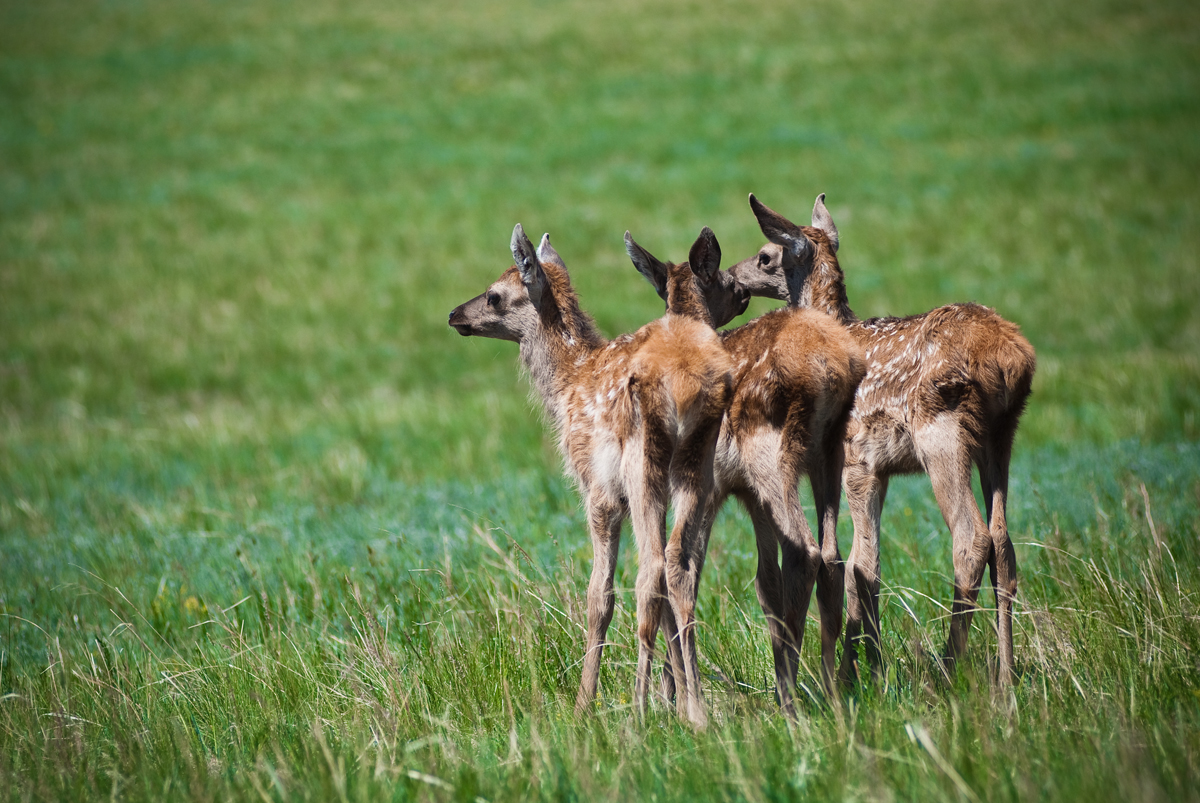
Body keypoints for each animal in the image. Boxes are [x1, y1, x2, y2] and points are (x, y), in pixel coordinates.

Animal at [451, 222, 729, 724]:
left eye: (495, 295)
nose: (454, 315)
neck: (568, 384)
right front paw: (679, 701)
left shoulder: (597, 488)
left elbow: (599, 595)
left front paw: (584, 704)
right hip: (696, 462)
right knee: (679, 565)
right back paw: (696, 712)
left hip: (642, 463)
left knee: (651, 571)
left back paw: (638, 710)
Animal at [624, 222, 868, 710]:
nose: (740, 289)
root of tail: (832, 366)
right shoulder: (745, 496)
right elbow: (764, 581)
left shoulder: (713, 486)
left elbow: (686, 569)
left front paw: (674, 696)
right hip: (827, 452)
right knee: (830, 555)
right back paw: (828, 693)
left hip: (768, 455)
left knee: (804, 550)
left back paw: (792, 699)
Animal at [724, 190, 1036, 686]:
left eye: (765, 256)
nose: (732, 278)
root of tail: (1012, 358)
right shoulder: (882, 470)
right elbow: (866, 566)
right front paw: (869, 668)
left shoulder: (859, 460)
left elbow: (860, 563)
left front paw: (855, 672)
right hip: (1002, 436)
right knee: (1004, 544)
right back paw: (1004, 676)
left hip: (942, 431)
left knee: (971, 539)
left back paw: (947, 672)